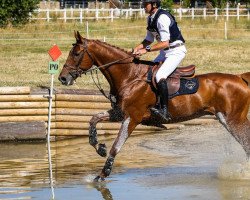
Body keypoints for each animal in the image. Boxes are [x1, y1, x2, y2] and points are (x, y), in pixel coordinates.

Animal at [58, 30, 250, 181]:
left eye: (76, 54)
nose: (63, 78)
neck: (130, 76)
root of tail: (240, 77)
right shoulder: (119, 113)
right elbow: (93, 119)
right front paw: (99, 148)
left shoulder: (132, 118)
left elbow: (116, 146)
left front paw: (102, 174)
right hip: (231, 119)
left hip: (232, 120)